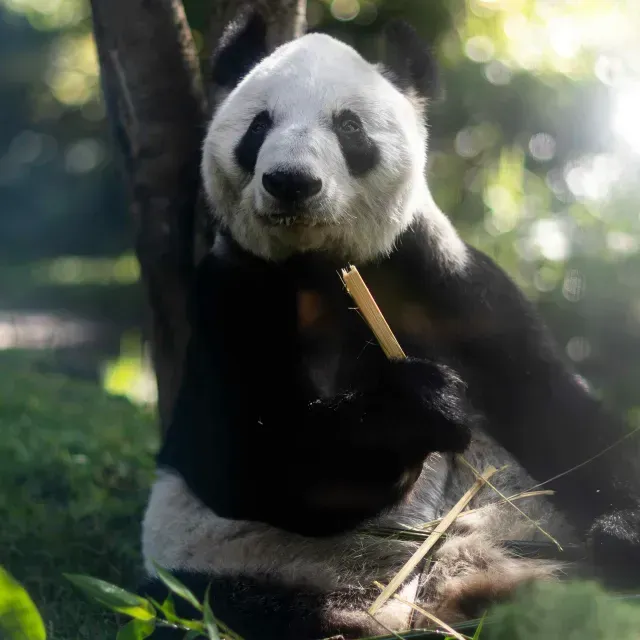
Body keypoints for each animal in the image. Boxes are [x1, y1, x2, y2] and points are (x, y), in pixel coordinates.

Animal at [139, 10, 640, 640]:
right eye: (259, 125)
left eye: (348, 126)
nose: (290, 181)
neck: (321, 265)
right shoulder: (232, 291)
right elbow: (255, 457)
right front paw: (421, 405)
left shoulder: (442, 276)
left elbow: (551, 405)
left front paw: (624, 532)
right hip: (235, 576)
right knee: (245, 608)